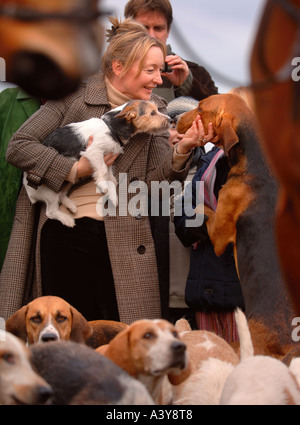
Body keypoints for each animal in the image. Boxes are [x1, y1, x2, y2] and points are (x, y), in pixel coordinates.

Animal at [23, 100, 171, 227]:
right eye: (152, 113)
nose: (171, 120)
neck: (111, 128)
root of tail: (28, 191)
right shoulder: (94, 151)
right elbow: (102, 171)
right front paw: (102, 185)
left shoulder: (109, 160)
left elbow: (111, 178)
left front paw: (112, 196)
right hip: (51, 189)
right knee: (51, 211)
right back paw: (67, 219)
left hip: (69, 180)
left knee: (62, 195)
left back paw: (71, 206)